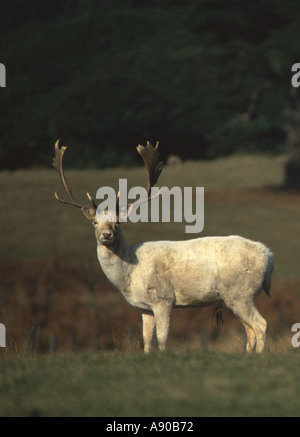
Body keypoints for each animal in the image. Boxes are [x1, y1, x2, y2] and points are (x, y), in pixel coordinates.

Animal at [52, 141, 274, 352]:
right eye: (95, 223)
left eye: (118, 222)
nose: (107, 235)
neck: (131, 274)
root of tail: (270, 256)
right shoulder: (144, 307)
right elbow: (146, 339)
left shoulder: (163, 298)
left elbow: (161, 338)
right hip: (236, 297)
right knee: (250, 330)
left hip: (241, 292)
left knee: (261, 324)